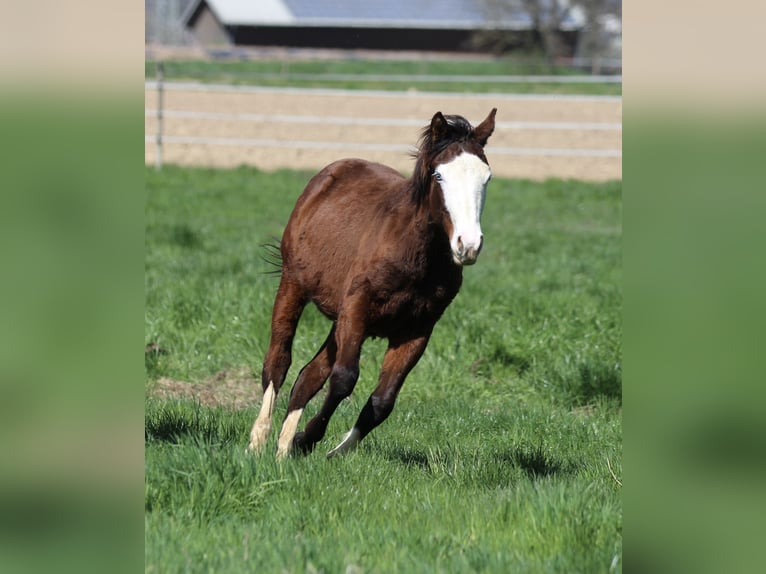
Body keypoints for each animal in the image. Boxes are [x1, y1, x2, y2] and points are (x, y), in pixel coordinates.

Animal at [247, 108, 497, 459]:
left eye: (486, 177)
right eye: (439, 176)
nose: (468, 245)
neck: (417, 255)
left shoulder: (416, 330)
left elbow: (382, 401)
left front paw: (323, 447)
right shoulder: (358, 308)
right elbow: (344, 378)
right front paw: (306, 439)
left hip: (338, 316)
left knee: (309, 374)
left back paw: (282, 447)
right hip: (293, 284)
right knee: (279, 361)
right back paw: (258, 441)